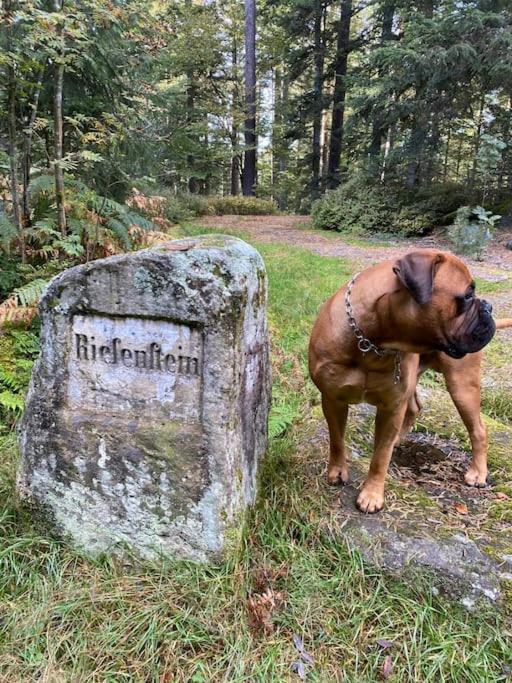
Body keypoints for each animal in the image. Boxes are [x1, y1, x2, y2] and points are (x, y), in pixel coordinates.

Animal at [308, 250, 512, 512]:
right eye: (467, 295)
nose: (488, 306)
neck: (371, 342)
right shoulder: (333, 399)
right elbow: (337, 439)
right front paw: (337, 471)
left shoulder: (391, 407)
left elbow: (380, 457)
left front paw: (372, 494)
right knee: (415, 407)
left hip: (462, 385)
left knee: (478, 429)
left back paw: (477, 472)